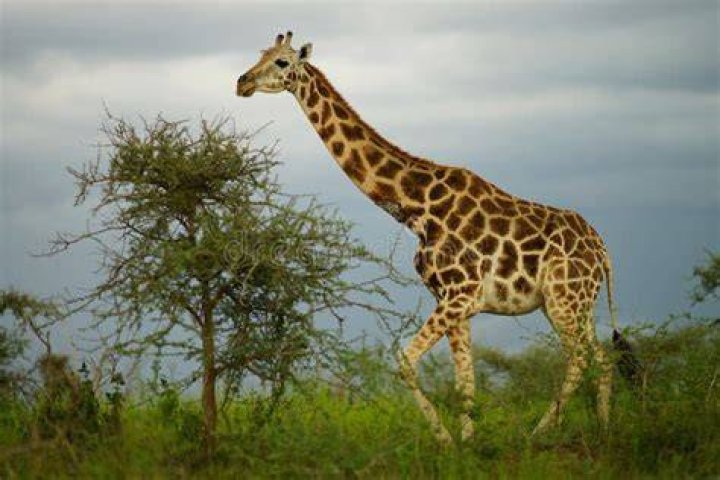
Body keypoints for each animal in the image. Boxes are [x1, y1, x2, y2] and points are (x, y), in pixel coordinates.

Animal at [236, 32, 617, 443]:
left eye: (281, 62)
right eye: (261, 54)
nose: (242, 82)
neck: (417, 208)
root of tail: (603, 252)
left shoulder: (458, 295)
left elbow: (405, 361)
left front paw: (446, 440)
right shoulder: (455, 301)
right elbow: (465, 380)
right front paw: (467, 443)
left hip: (565, 301)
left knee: (580, 358)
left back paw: (540, 434)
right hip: (570, 304)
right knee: (601, 358)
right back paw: (603, 430)